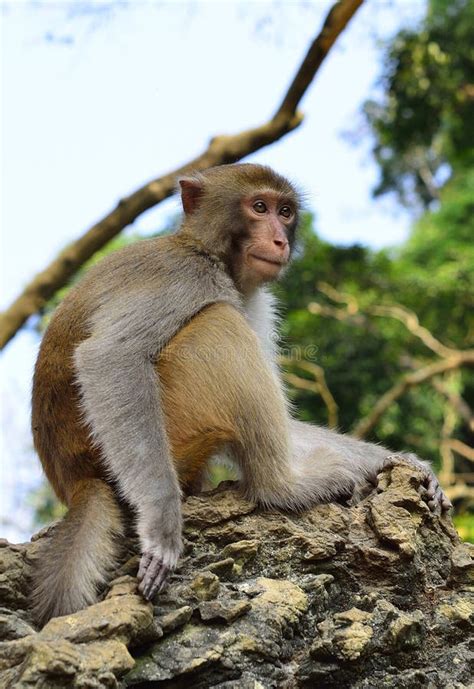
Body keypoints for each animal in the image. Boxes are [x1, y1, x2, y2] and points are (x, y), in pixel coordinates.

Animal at [30, 164, 452, 628]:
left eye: (285, 212)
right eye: (259, 207)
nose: (280, 240)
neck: (211, 255)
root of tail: (76, 479)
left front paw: (401, 461)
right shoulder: (184, 276)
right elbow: (109, 357)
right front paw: (161, 523)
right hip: (173, 434)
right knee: (218, 322)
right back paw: (281, 486)